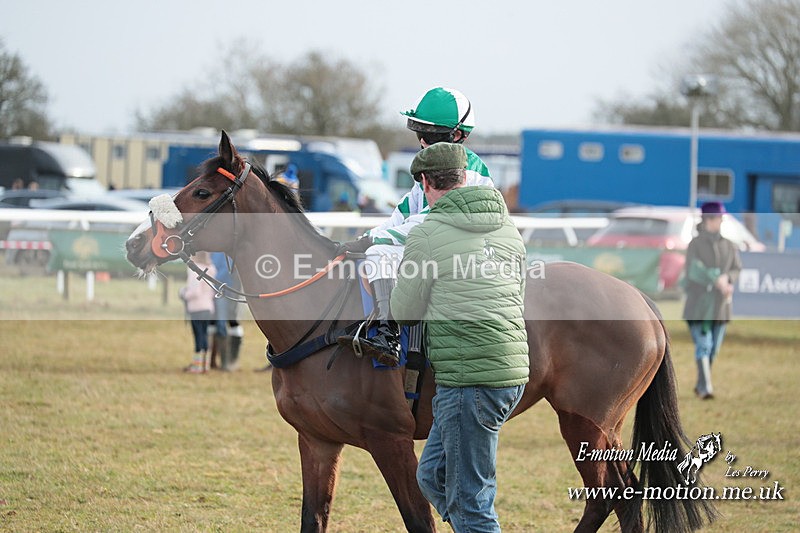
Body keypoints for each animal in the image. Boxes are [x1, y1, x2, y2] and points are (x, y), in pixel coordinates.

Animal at [125, 131, 715, 532]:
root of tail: (639, 299)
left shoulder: (390, 442)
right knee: (614, 499)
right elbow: (313, 518)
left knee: (621, 497)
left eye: (202, 192)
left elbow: (418, 520)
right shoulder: (316, 441)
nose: (134, 244)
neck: (322, 316)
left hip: (589, 423)